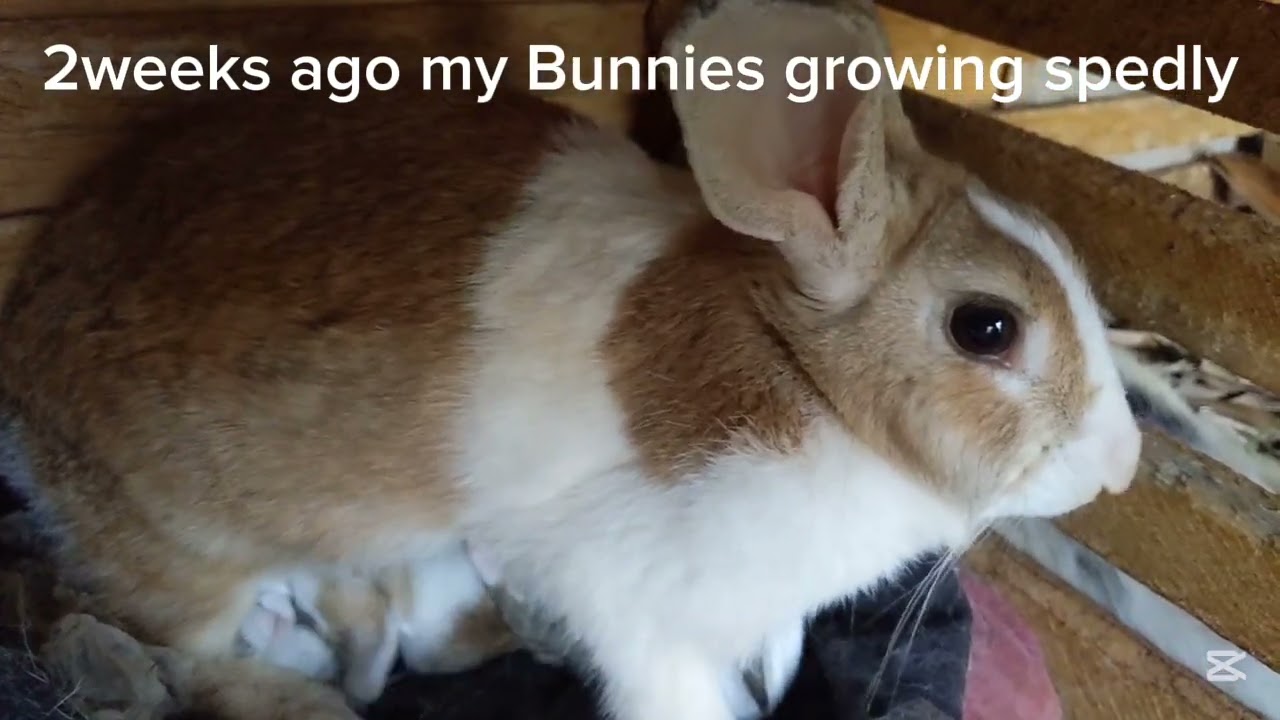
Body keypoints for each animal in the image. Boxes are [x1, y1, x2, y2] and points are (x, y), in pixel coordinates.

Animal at [0, 0, 1143, 718]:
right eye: (986, 327)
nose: (1124, 465)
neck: (806, 379)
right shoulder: (637, 610)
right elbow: (672, 693)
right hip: (184, 564)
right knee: (181, 654)